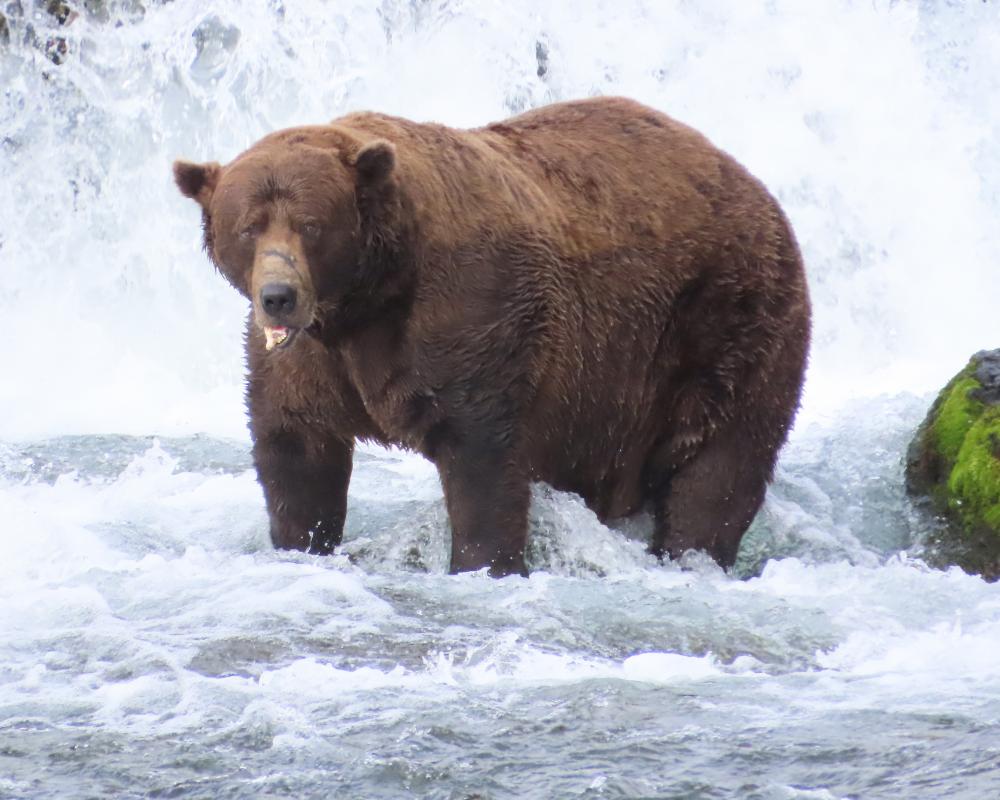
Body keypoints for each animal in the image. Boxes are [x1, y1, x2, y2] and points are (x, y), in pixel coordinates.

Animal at [173, 96, 811, 577]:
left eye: (311, 225)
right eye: (248, 227)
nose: (278, 295)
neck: (367, 301)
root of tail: (752, 183)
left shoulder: (473, 315)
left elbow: (481, 457)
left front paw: (484, 563)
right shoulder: (307, 360)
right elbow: (296, 449)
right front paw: (302, 542)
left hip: (725, 320)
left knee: (721, 463)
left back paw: (691, 553)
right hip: (613, 395)